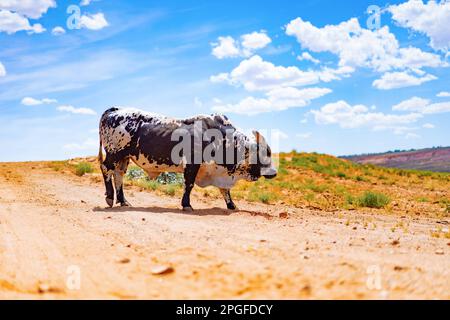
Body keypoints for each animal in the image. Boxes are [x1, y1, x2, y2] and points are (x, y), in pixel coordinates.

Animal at [97, 107, 278, 211]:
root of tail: (115, 110)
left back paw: (123, 201)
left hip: (123, 158)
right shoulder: (192, 164)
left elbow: (225, 190)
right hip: (114, 153)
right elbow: (189, 184)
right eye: (264, 152)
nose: (274, 173)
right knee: (106, 169)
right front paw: (186, 204)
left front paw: (231, 205)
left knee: (119, 175)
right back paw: (110, 197)